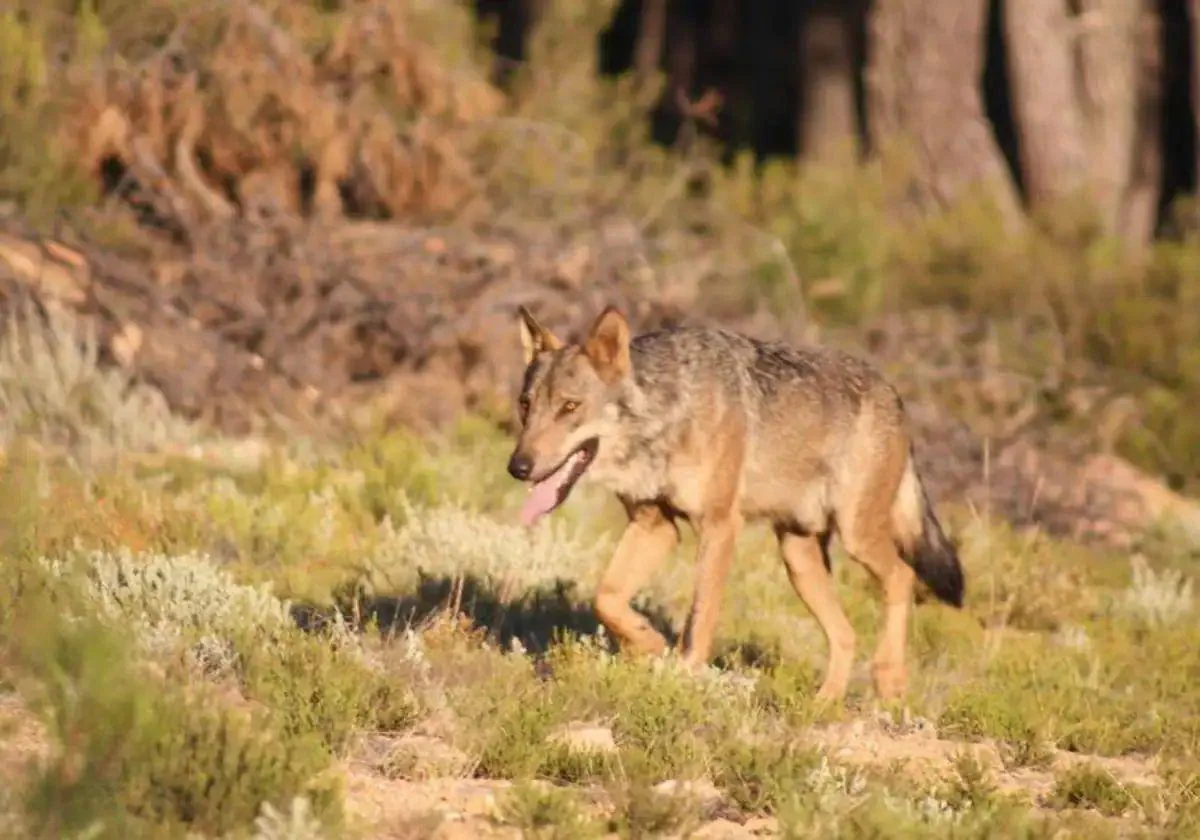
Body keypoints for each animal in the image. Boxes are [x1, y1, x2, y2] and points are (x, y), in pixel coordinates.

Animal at [506, 304, 964, 700]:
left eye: (569, 407)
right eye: (526, 405)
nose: (518, 467)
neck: (666, 414)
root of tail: (894, 394)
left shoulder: (720, 525)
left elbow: (699, 619)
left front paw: (682, 678)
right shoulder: (656, 526)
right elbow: (608, 599)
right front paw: (649, 645)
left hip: (856, 536)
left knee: (903, 576)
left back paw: (889, 679)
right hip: (798, 558)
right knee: (846, 633)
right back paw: (825, 702)